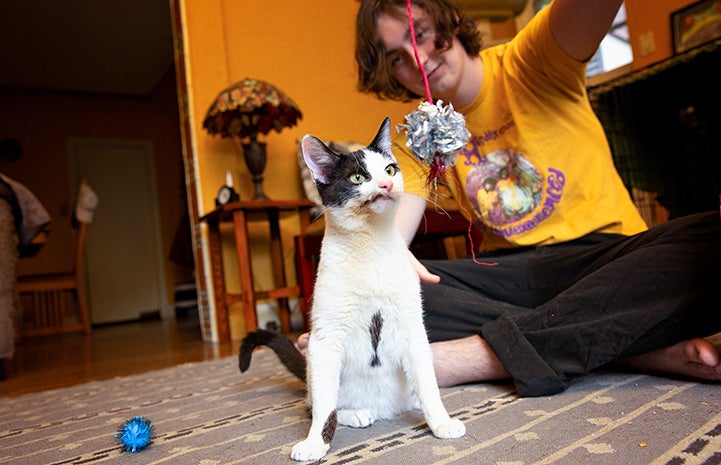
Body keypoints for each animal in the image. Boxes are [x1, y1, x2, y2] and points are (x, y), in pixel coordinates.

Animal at [239, 117, 464, 460]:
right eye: (358, 177)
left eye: (390, 169)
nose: (386, 185)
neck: (370, 246)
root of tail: (387, 410)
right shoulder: (323, 340)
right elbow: (323, 409)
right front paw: (315, 443)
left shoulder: (413, 328)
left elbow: (429, 385)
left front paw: (441, 422)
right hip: (320, 368)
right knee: (317, 402)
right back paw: (356, 413)